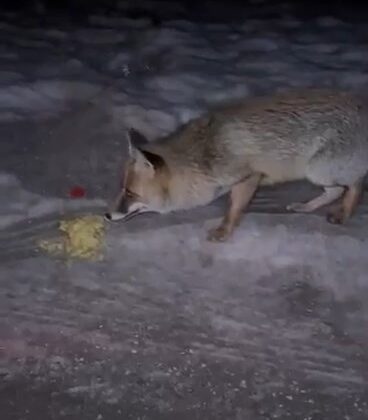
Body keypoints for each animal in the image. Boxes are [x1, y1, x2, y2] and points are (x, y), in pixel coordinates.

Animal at [104, 88, 368, 240]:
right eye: (121, 189)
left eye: (130, 192)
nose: (106, 215)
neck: (203, 154)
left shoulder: (248, 177)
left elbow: (234, 209)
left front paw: (224, 232)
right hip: (319, 174)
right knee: (336, 191)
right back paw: (306, 208)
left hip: (318, 170)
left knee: (355, 185)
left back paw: (344, 214)